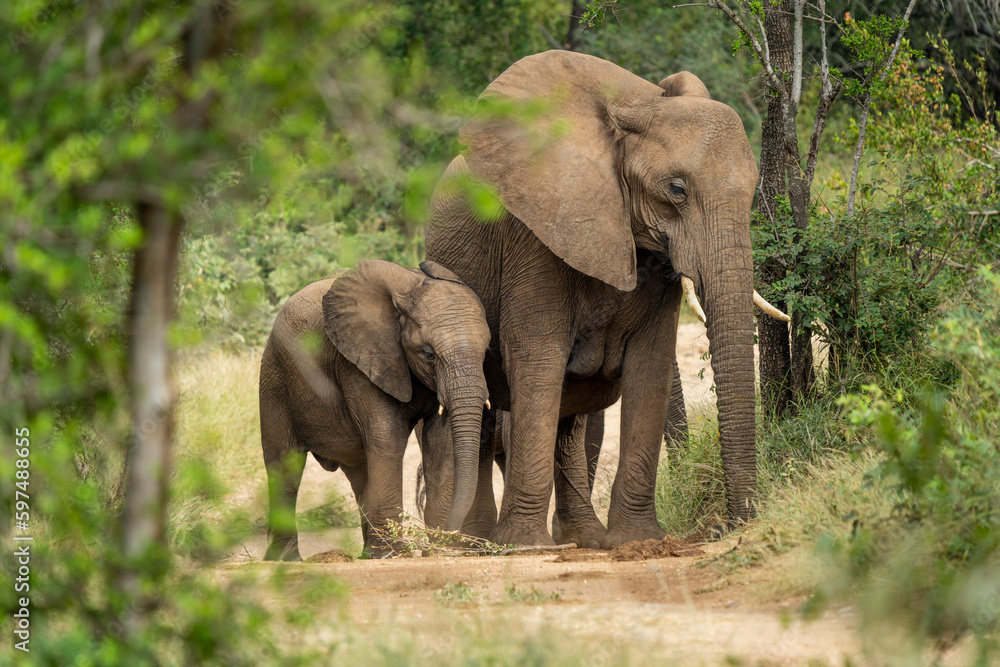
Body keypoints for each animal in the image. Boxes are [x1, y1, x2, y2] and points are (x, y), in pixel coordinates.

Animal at [260, 258, 490, 560]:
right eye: (428, 354)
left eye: (486, 352)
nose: (441, 539)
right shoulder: (359, 361)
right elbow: (387, 436)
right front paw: (397, 555)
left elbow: (442, 443)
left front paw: (438, 551)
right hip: (275, 376)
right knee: (284, 465)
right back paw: (287, 560)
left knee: (360, 472)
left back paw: (366, 552)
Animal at [426, 49, 784, 544]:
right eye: (676, 189)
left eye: (753, 191)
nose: (727, 527)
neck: (636, 106)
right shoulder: (535, 234)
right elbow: (538, 358)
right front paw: (522, 544)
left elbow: (650, 364)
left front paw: (636, 540)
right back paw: (481, 542)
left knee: (569, 419)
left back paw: (584, 537)